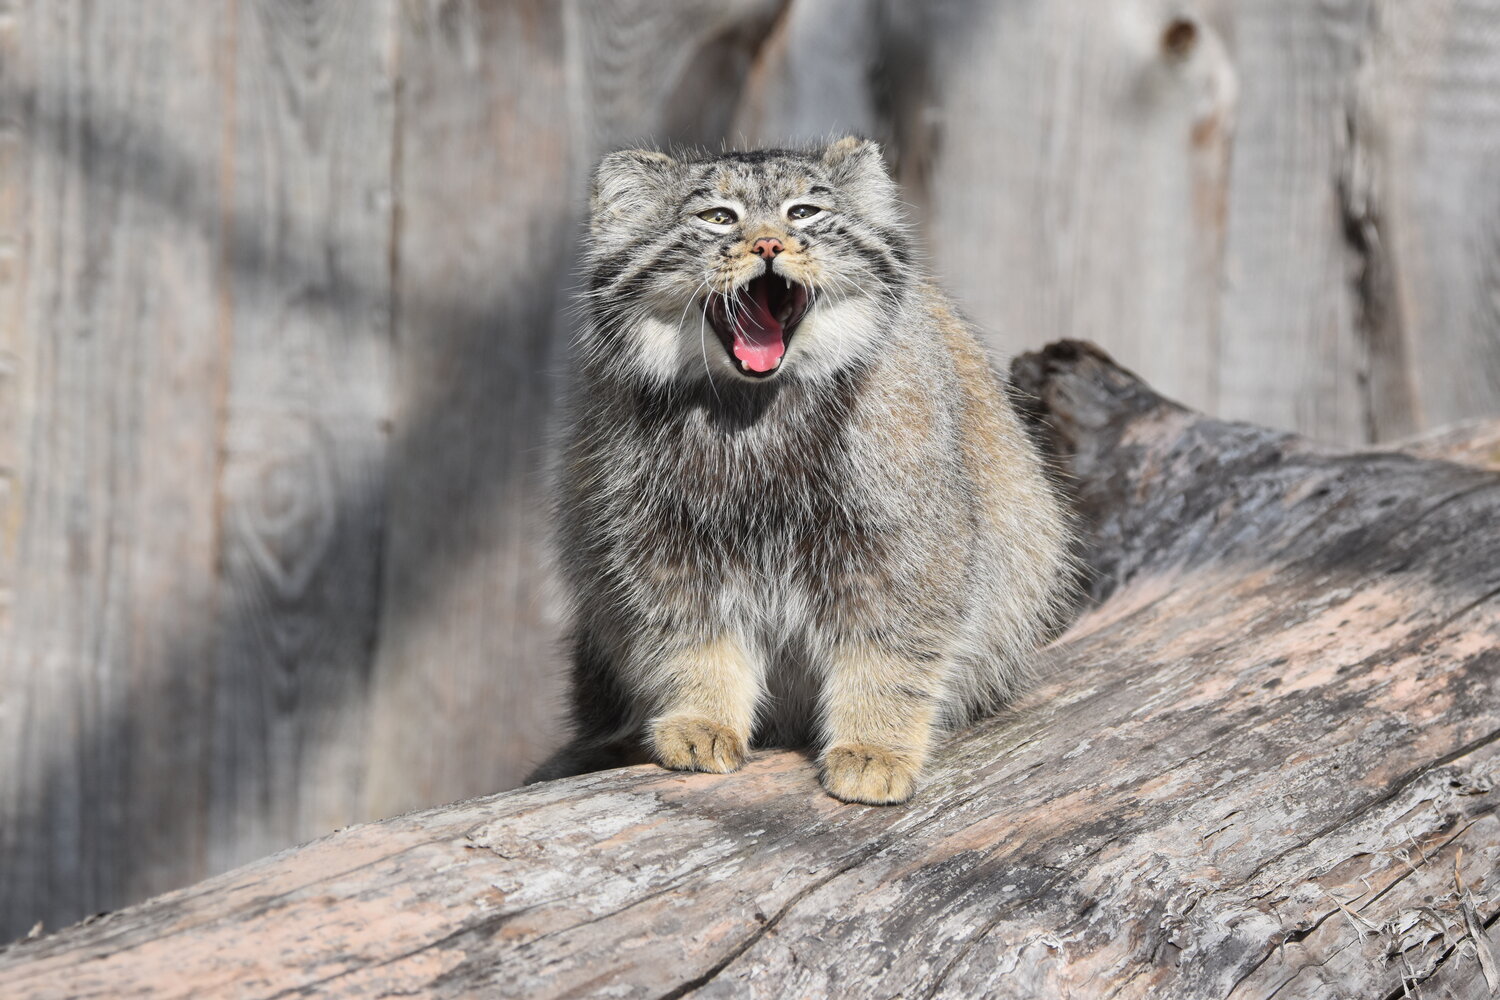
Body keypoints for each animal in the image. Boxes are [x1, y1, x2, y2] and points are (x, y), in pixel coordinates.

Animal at [534, 137, 1074, 803]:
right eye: (719, 217)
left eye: (804, 212)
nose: (769, 245)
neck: (756, 412)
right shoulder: (663, 548)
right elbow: (691, 642)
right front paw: (701, 718)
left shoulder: (906, 545)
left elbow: (890, 652)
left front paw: (874, 746)